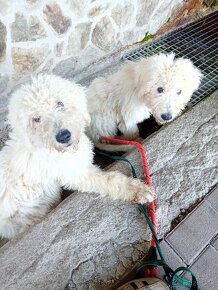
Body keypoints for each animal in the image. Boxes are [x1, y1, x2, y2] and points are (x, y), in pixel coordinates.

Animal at [0, 75, 155, 240]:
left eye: (60, 103)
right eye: (36, 119)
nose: (63, 136)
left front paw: (135, 143)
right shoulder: (76, 175)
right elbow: (109, 180)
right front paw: (137, 189)